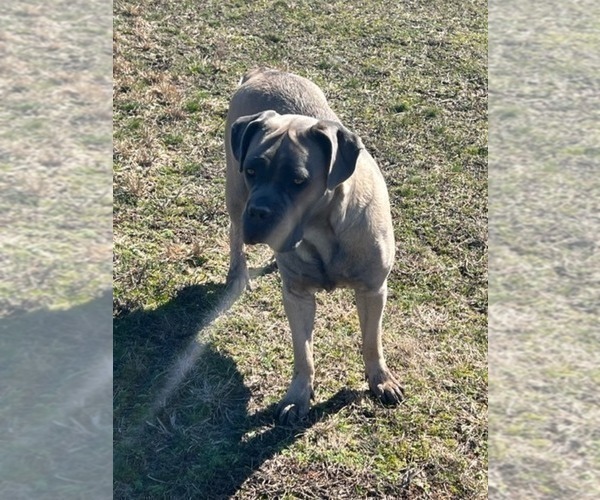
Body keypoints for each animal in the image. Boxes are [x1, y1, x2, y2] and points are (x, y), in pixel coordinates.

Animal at [223, 68, 400, 424]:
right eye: (252, 170)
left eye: (298, 181)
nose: (259, 211)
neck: (321, 233)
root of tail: (264, 71)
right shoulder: (298, 297)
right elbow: (302, 352)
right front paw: (298, 396)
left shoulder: (373, 290)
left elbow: (371, 340)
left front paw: (380, 380)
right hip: (234, 195)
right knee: (235, 234)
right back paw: (239, 273)